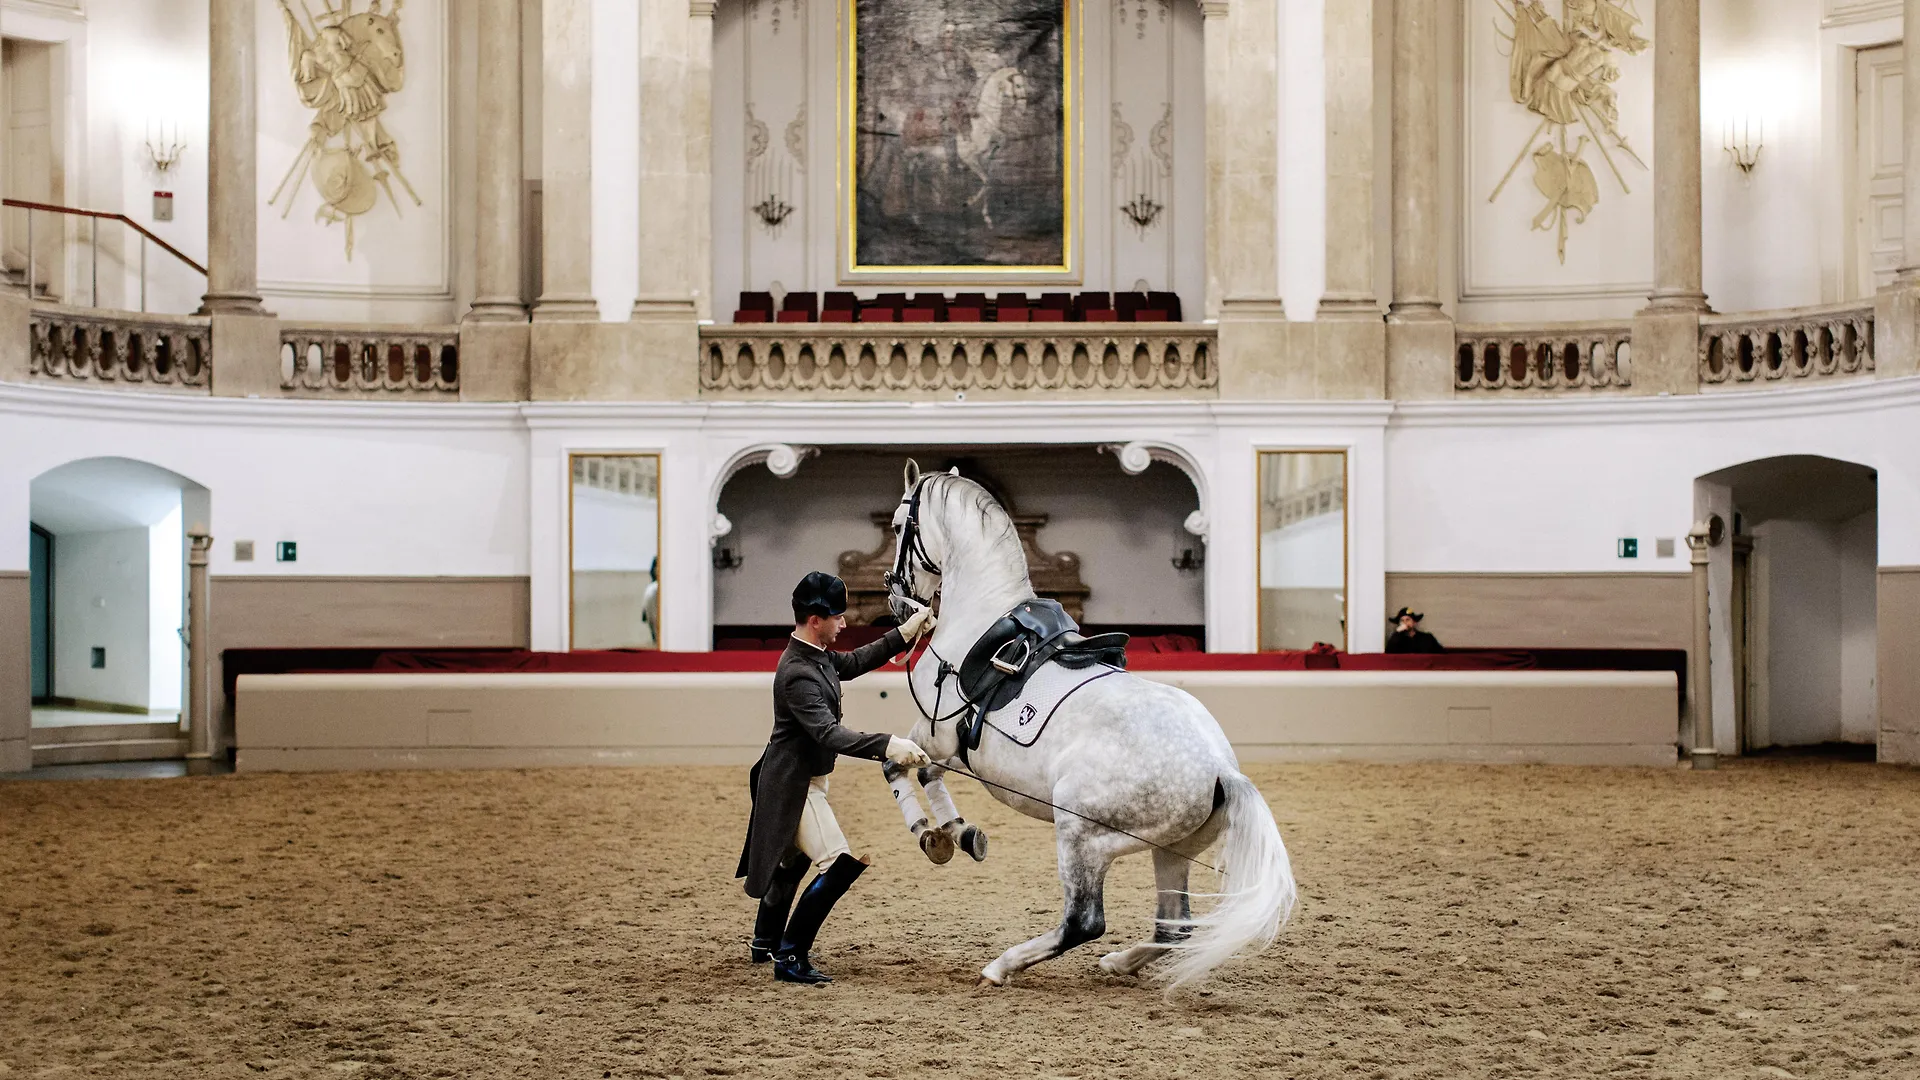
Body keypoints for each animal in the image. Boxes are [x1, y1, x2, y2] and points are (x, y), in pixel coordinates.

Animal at [879, 463, 1297, 983]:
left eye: (898, 524)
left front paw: (932, 835)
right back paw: (1120, 962)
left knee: (1084, 921)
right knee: (1173, 927)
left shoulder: (933, 732)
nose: (896, 601)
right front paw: (957, 832)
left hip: (1081, 835)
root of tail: (1221, 770)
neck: (978, 621)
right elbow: (927, 775)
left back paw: (1002, 965)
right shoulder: (950, 746)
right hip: (1171, 850)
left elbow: (898, 767)